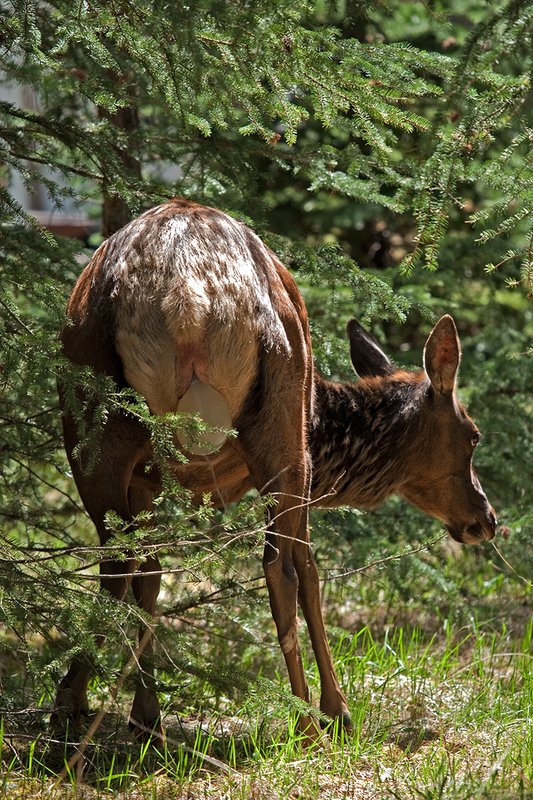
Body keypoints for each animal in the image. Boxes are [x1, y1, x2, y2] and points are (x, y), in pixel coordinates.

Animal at [52, 197, 497, 741]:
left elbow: (150, 579)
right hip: (279, 423)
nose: (486, 519)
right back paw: (305, 717)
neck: (324, 426)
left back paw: (78, 705)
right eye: (473, 435)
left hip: (89, 410)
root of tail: (186, 299)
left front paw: (144, 713)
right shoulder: (303, 463)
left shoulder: (148, 482)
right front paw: (338, 710)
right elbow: (309, 571)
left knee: (115, 564)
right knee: (278, 566)